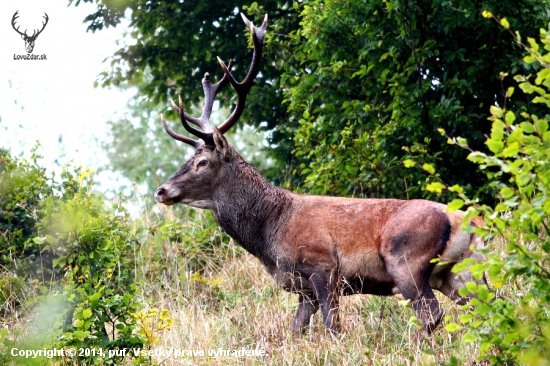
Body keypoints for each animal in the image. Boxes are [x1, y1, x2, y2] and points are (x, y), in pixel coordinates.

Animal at [155, 13, 492, 340]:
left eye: (201, 162)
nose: (162, 191)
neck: (271, 233)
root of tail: (467, 220)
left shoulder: (324, 267)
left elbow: (333, 329)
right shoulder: (303, 290)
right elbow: (295, 331)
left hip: (407, 260)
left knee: (432, 314)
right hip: (459, 271)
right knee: (488, 308)